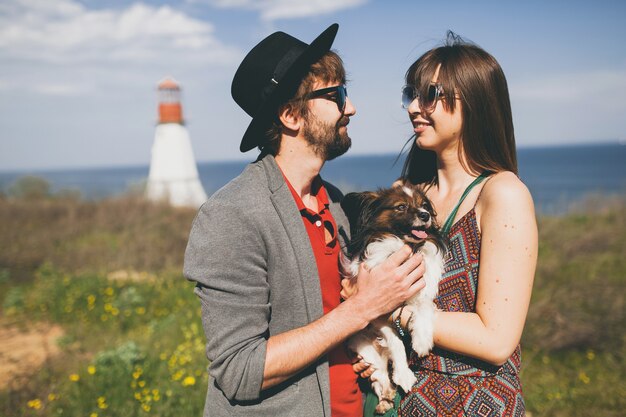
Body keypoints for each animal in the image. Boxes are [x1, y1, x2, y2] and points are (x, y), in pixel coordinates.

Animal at [338, 182, 446, 412]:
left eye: (424, 206)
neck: (406, 248)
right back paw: (385, 399)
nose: (425, 215)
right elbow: (397, 343)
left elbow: (424, 307)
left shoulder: (422, 292)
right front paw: (404, 374)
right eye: (401, 207)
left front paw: (422, 339)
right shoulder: (379, 315)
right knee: (381, 374)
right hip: (364, 349)